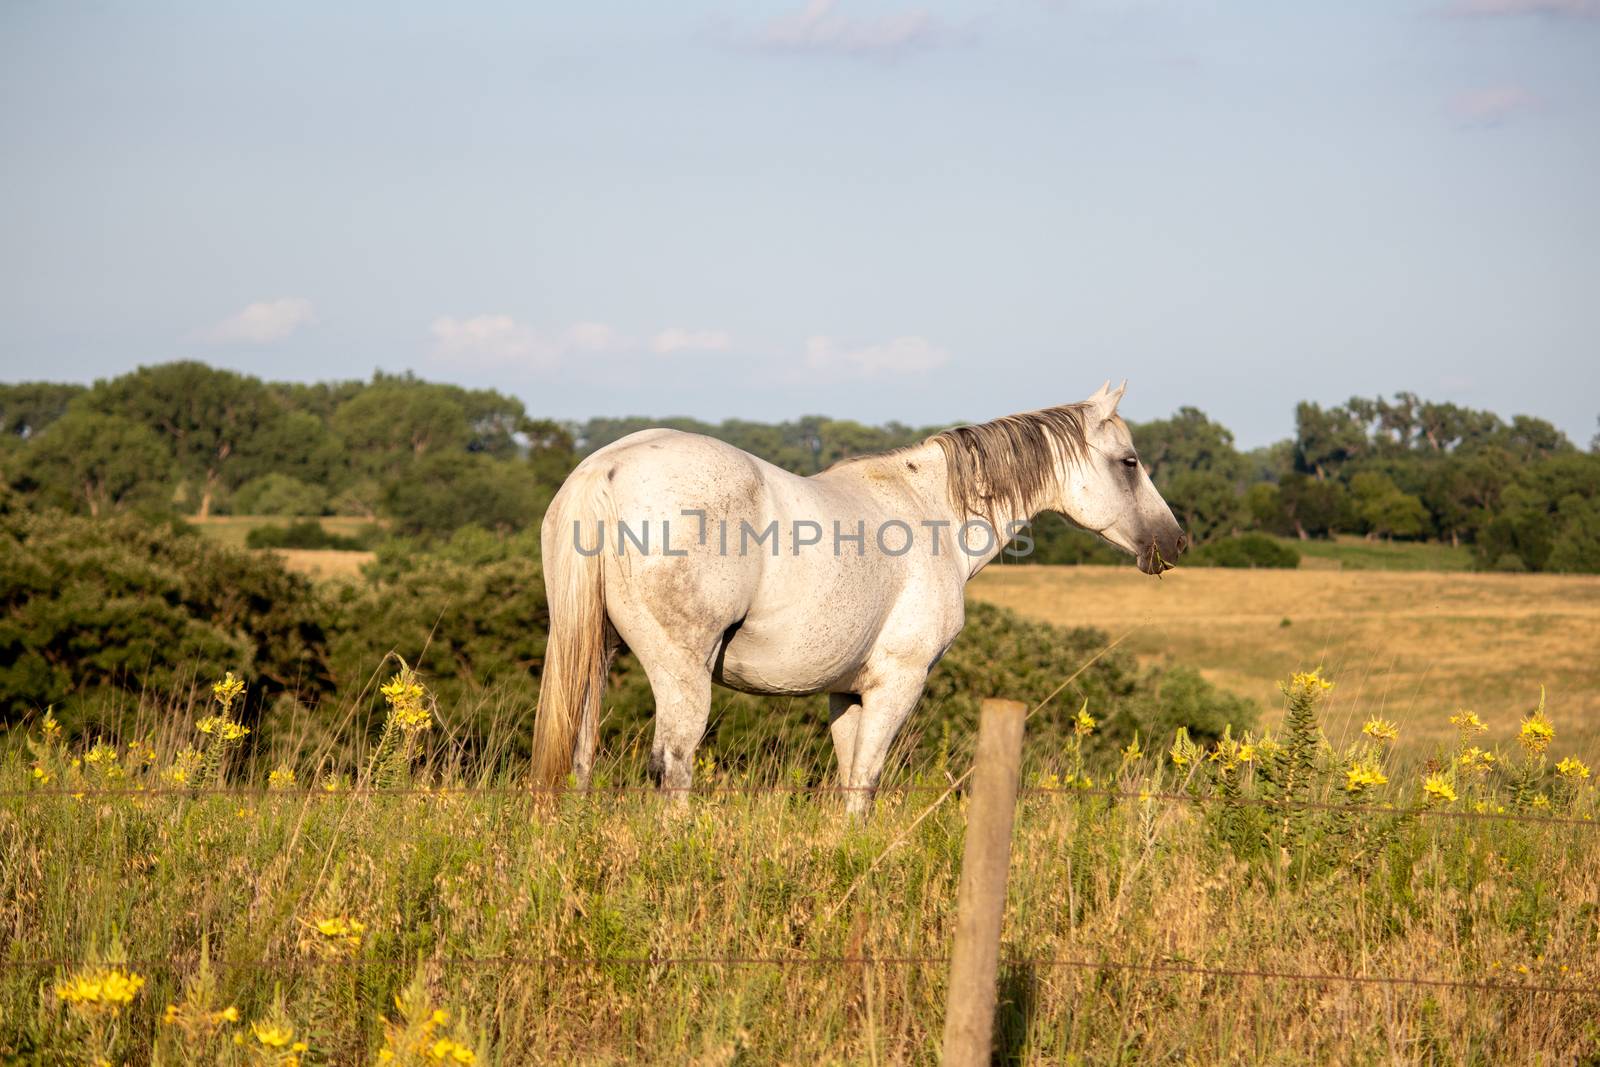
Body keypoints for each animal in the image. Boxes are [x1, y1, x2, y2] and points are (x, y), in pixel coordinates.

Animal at [531, 379, 1184, 812]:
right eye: (1129, 462)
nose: (1175, 540)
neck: (931, 512)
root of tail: (607, 468)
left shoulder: (845, 692)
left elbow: (848, 774)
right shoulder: (898, 682)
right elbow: (865, 780)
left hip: (594, 656)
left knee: (580, 754)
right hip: (679, 669)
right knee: (673, 762)